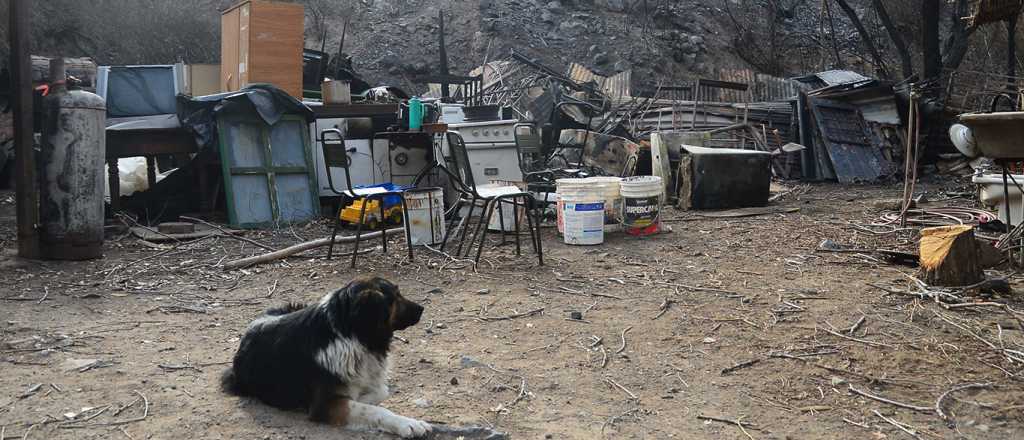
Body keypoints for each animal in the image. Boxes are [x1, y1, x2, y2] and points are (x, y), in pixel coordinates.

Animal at [220, 276, 432, 437]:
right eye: (395, 297)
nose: (422, 308)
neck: (350, 334)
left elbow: (379, 392)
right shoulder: (324, 405)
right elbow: (373, 409)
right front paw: (408, 424)